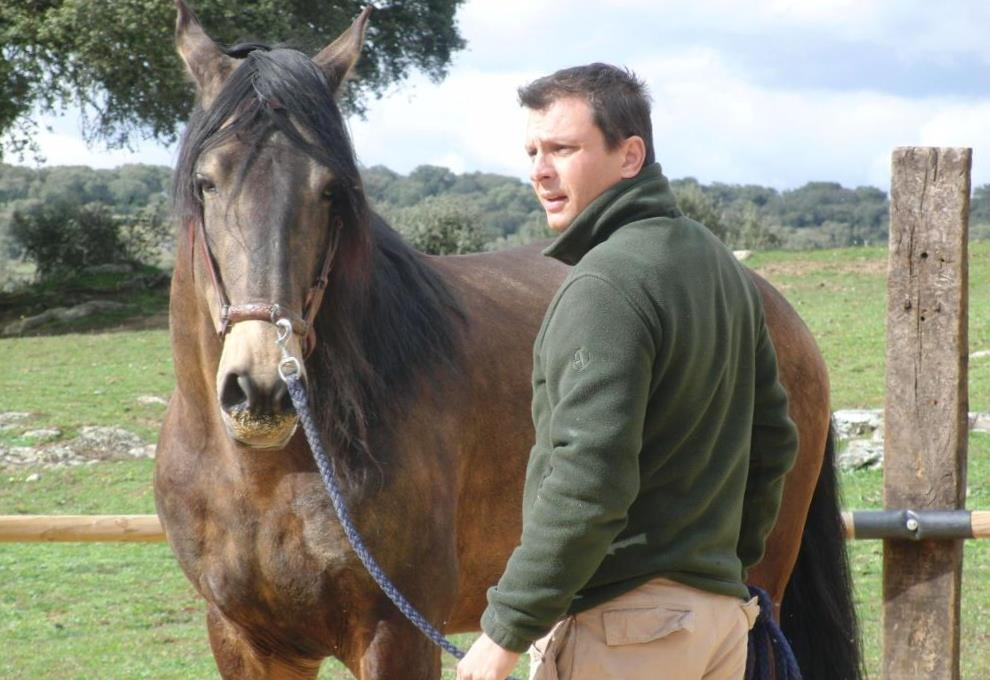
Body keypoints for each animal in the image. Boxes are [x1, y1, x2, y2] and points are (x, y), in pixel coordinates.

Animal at [154, 3, 861, 679]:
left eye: (331, 192)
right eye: (206, 182)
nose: (262, 390)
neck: (269, 476)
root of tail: (767, 300)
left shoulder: (397, 636)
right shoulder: (247, 643)